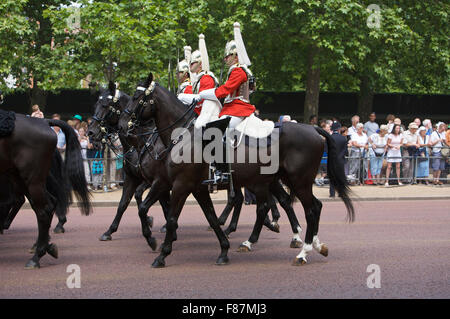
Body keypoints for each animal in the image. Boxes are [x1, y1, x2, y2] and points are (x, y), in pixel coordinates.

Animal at [121, 74, 354, 268]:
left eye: (137, 97)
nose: (124, 126)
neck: (182, 136)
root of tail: (312, 128)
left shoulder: (181, 184)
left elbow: (170, 218)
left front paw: (161, 254)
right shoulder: (189, 186)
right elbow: (208, 216)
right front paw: (223, 250)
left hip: (298, 181)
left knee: (310, 209)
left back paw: (303, 252)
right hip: (276, 180)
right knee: (296, 206)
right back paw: (312, 245)